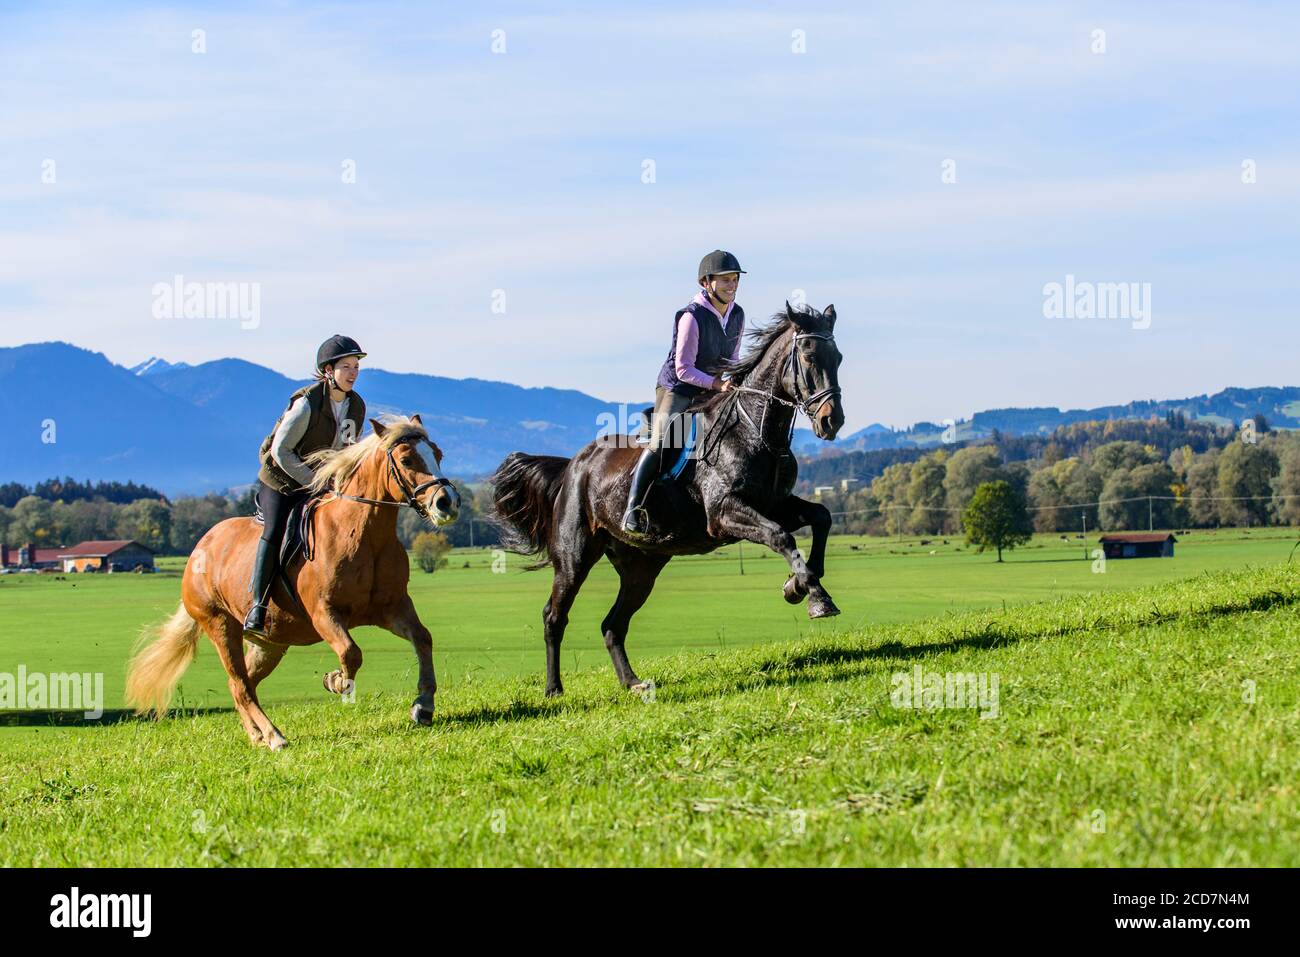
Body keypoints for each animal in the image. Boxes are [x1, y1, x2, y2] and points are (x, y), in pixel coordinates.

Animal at [125, 416, 462, 748]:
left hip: (269, 643)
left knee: (242, 684)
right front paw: (335, 681)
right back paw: (274, 736)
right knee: (240, 683)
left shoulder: (392, 607)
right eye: (406, 459)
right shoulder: (323, 613)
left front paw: (423, 706)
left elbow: (423, 639)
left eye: (438, 454)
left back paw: (257, 736)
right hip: (220, 626)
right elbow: (351, 653)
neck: (365, 535)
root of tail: (198, 549)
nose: (447, 503)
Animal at [491, 304, 847, 696]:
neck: (754, 430)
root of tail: (573, 465)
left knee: (612, 624)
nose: (832, 421)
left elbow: (822, 517)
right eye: (809, 357)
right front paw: (815, 599)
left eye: (838, 358)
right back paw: (554, 689)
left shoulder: (774, 504)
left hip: (641, 567)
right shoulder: (724, 514)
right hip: (575, 558)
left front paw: (797, 586)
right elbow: (781, 536)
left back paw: (633, 682)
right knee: (555, 615)